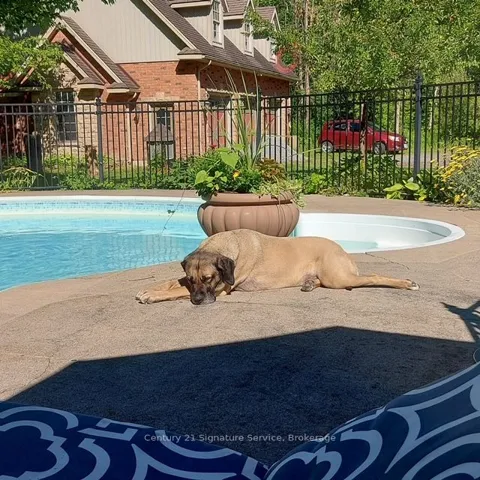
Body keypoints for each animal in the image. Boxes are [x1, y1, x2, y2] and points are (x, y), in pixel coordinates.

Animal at [136, 229, 419, 306]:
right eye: (193, 278)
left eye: (208, 278)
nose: (197, 300)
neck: (224, 244)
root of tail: (342, 250)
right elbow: (174, 282)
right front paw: (151, 287)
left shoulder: (222, 288)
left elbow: (176, 289)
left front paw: (151, 294)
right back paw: (309, 283)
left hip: (338, 277)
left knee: (373, 276)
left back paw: (407, 283)